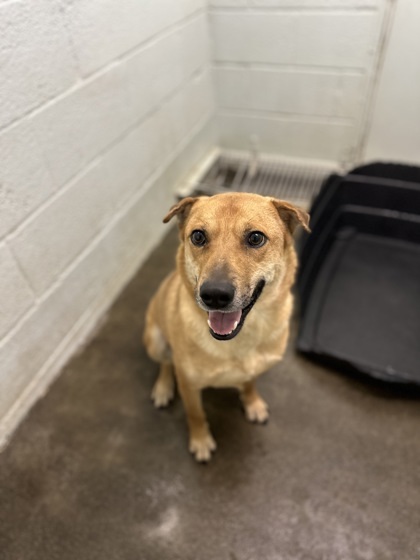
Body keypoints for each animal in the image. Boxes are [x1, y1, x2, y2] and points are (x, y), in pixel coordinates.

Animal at [144, 191, 308, 460]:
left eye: (255, 238)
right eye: (198, 236)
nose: (215, 295)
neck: (240, 339)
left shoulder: (254, 370)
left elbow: (250, 383)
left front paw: (252, 403)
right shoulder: (189, 385)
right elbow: (196, 414)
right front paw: (201, 441)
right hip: (155, 341)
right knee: (166, 363)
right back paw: (163, 388)